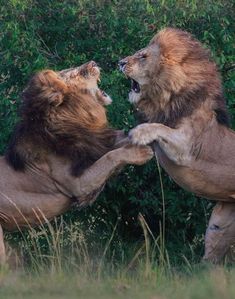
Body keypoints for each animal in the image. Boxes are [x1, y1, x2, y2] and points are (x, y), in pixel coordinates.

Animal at [0, 61, 152, 264]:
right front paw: (142, 152)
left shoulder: (97, 145)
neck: (76, 116)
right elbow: (111, 157)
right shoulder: (77, 184)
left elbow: (120, 143)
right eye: (73, 73)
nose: (93, 63)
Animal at [119, 27, 235, 264]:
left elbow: (160, 128)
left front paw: (139, 133)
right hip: (221, 223)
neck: (167, 96)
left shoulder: (186, 147)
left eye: (143, 56)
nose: (120, 62)